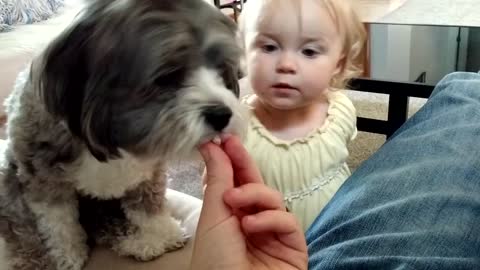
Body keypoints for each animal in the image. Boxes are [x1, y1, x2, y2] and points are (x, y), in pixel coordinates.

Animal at [0, 0, 244, 268]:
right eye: (166, 76)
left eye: (221, 70)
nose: (222, 114)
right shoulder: (43, 179)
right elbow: (58, 225)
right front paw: (65, 256)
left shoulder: (149, 175)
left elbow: (149, 209)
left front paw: (163, 233)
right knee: (23, 232)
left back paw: (137, 243)